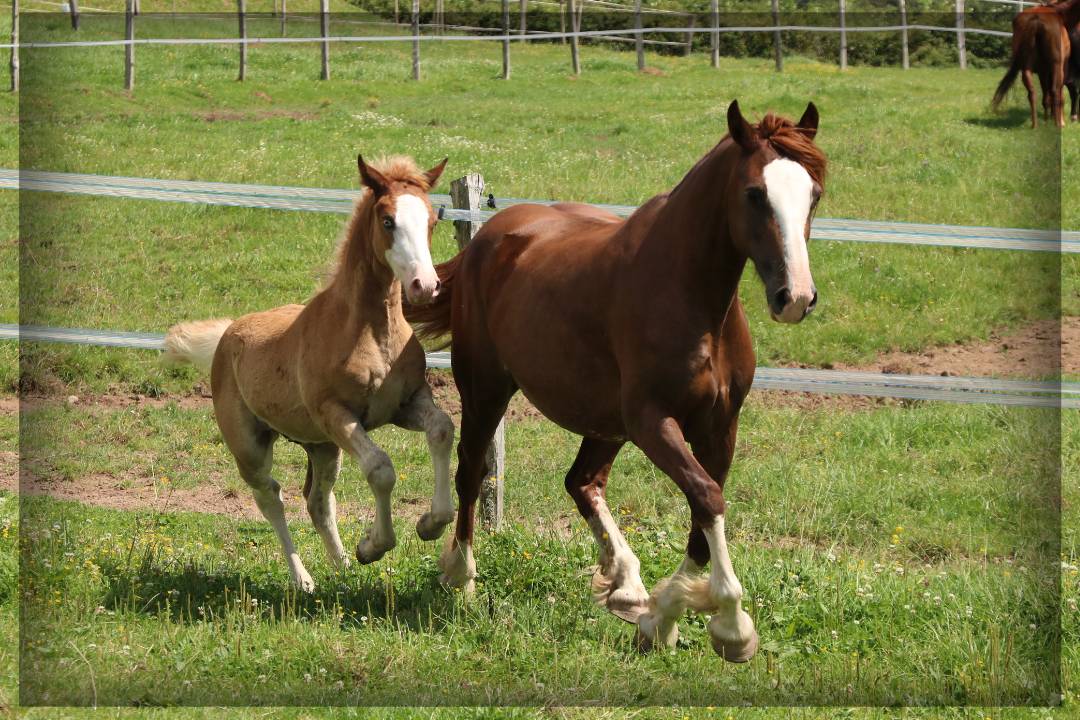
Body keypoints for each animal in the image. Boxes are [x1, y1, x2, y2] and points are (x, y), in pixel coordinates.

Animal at [163, 155, 456, 593]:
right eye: (388, 220)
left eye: (431, 220)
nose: (425, 285)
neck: (371, 331)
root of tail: (230, 331)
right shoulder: (337, 414)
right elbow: (380, 469)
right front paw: (374, 545)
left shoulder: (406, 402)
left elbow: (441, 429)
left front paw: (431, 523)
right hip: (251, 446)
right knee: (271, 497)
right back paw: (304, 579)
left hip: (321, 446)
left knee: (317, 500)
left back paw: (344, 570)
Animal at [406, 101, 826, 662]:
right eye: (755, 193)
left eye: (813, 194)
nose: (794, 297)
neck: (691, 295)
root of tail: (488, 239)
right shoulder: (652, 422)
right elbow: (708, 498)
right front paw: (731, 626)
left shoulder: (720, 426)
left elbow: (704, 510)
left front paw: (661, 617)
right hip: (486, 391)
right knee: (471, 474)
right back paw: (463, 579)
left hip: (604, 421)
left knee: (581, 482)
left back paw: (626, 585)